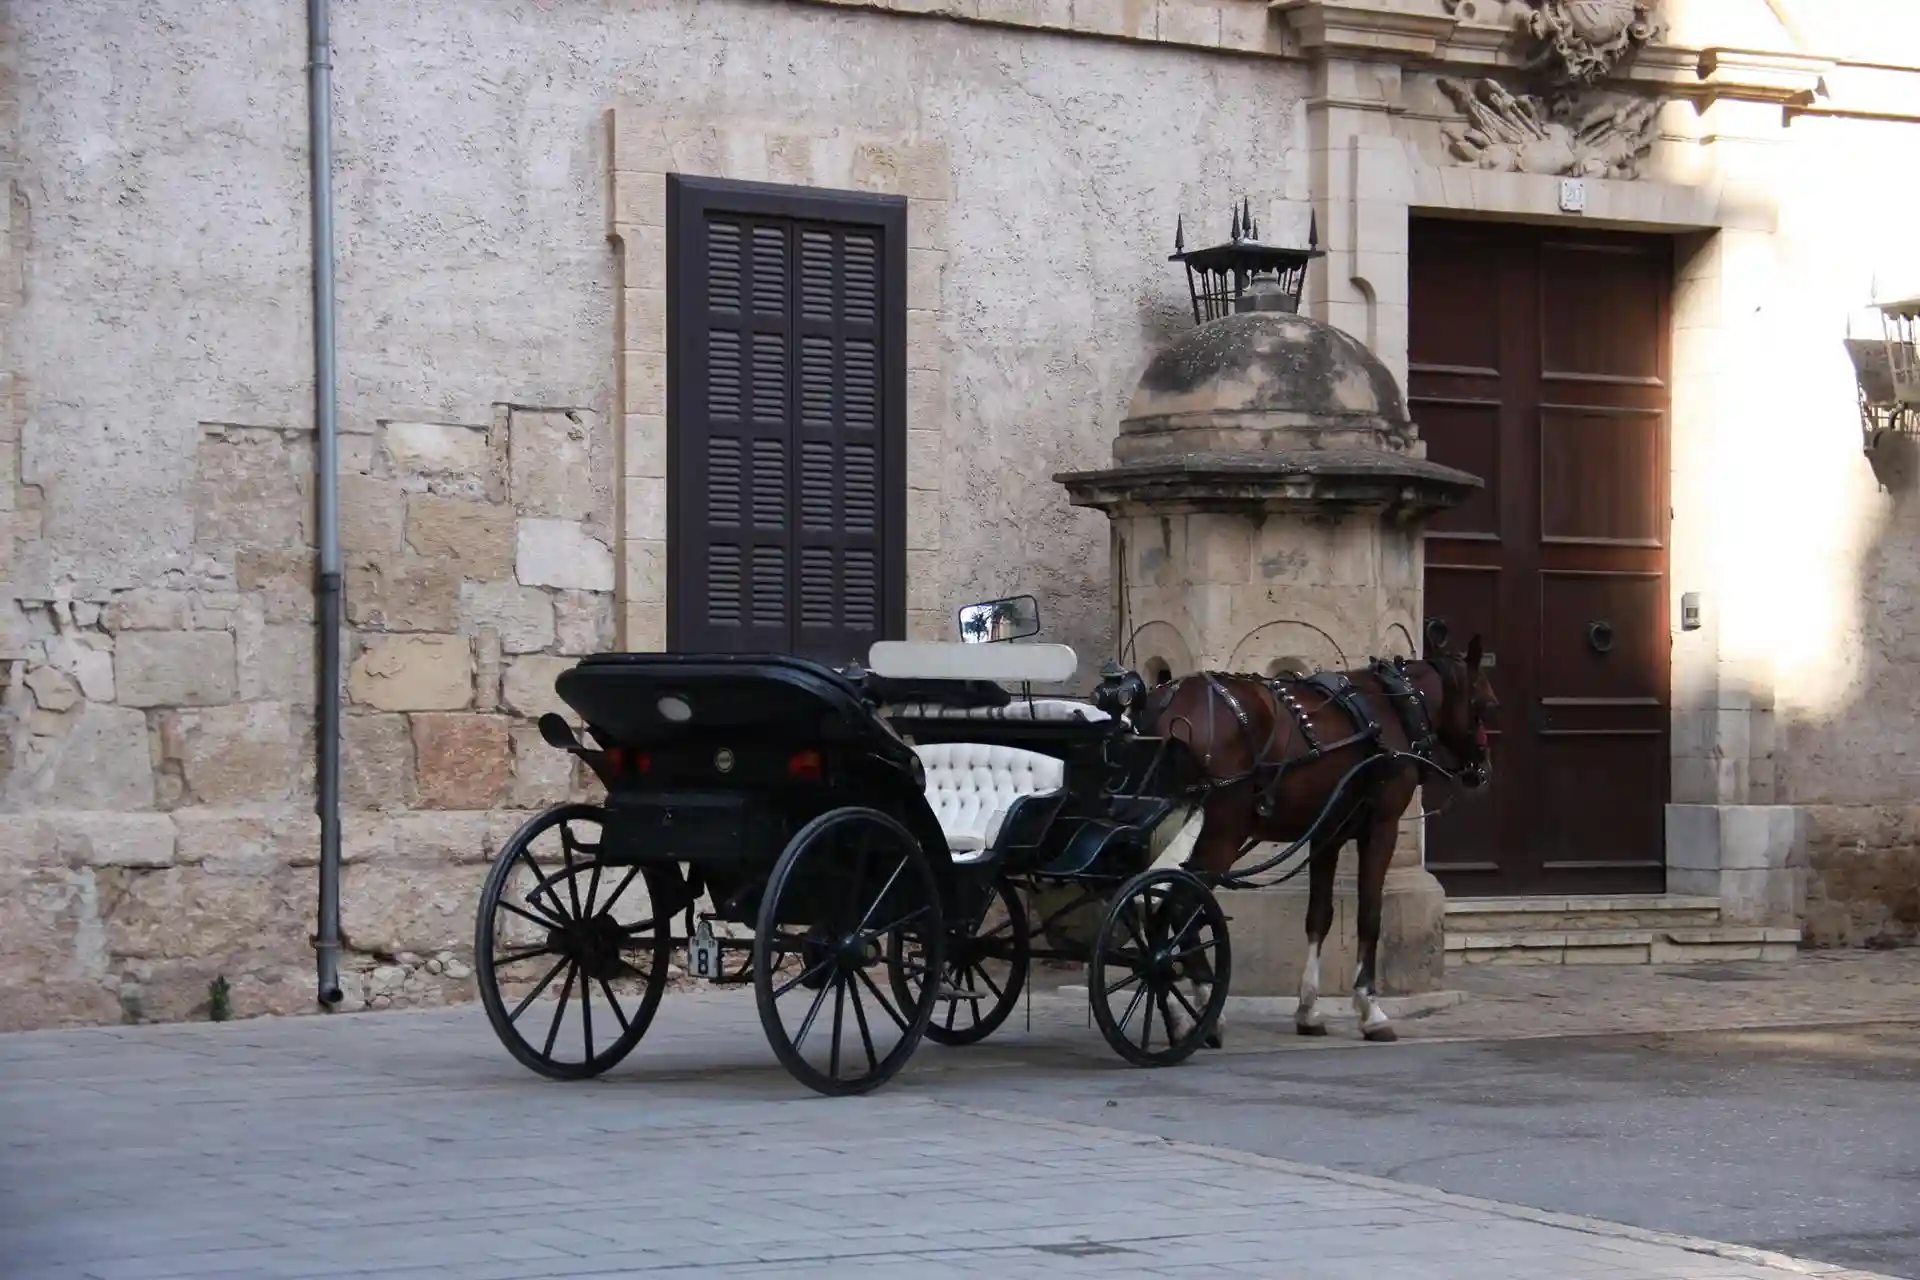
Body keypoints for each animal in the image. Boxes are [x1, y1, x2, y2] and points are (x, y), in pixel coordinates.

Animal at [1136, 644, 1497, 1043]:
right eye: (1487, 705)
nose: (1483, 771)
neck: (1395, 708)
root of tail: (1166, 704)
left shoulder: (1328, 835)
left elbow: (1319, 916)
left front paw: (1308, 1009)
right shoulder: (1381, 828)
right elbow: (1370, 914)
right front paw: (1370, 1009)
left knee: (1151, 907)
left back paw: (1174, 1008)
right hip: (1220, 834)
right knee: (1181, 907)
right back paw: (1204, 1009)